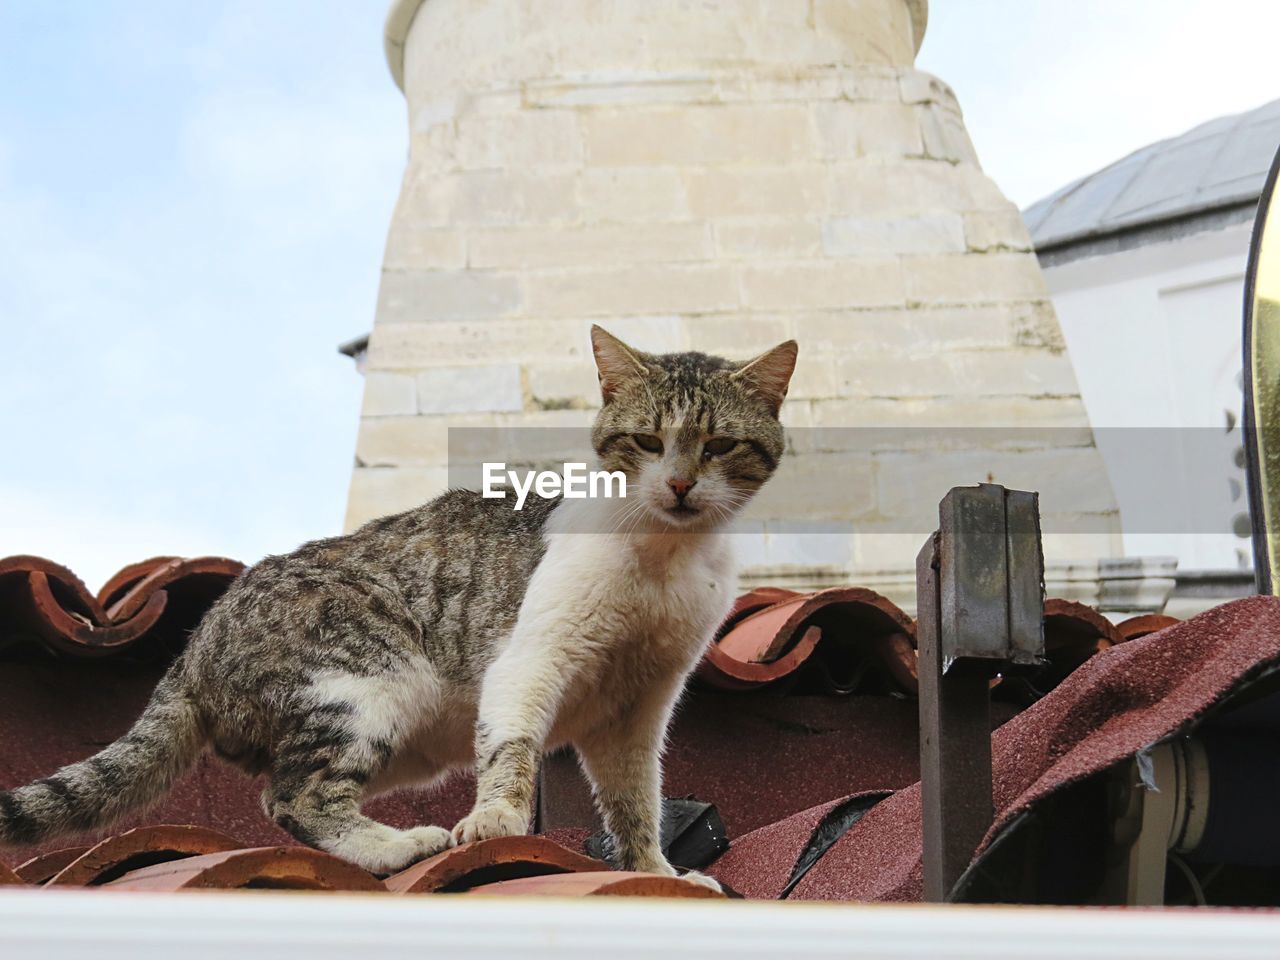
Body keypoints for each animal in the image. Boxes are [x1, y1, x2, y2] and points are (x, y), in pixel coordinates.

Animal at [0, 327, 793, 885]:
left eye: (719, 445)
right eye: (647, 441)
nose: (680, 485)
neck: (663, 558)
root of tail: (196, 644)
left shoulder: (638, 708)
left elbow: (636, 801)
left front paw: (658, 871)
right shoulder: (532, 658)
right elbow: (512, 749)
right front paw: (496, 820)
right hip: (368, 677)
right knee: (293, 798)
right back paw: (395, 847)